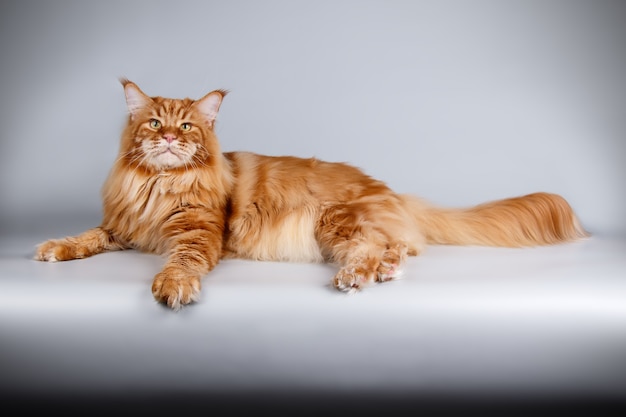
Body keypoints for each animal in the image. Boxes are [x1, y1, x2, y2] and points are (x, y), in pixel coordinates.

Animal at [34, 80, 588, 308]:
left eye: (187, 127)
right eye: (154, 122)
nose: (169, 138)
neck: (160, 185)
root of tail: (391, 191)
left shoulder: (196, 232)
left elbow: (181, 262)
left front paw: (173, 286)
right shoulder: (124, 227)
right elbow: (87, 236)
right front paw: (54, 247)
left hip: (334, 221)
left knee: (374, 248)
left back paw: (359, 277)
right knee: (394, 249)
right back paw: (386, 270)